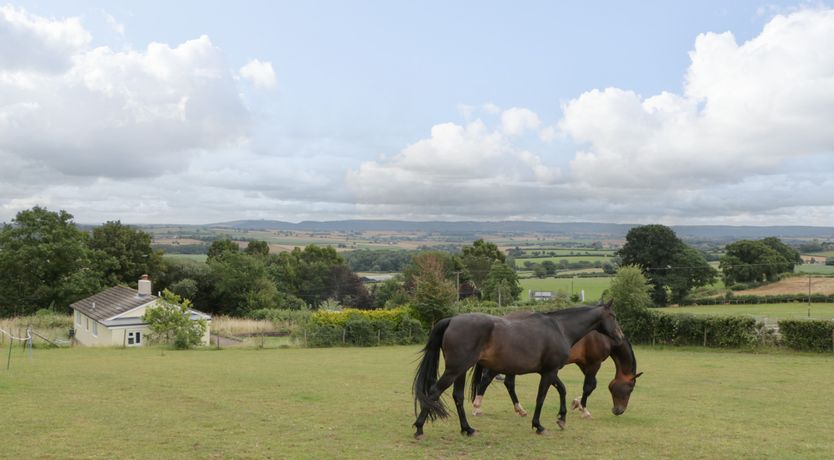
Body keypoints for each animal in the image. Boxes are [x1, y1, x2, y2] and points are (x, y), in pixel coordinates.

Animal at [412, 302, 620, 438]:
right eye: (613, 316)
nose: (619, 337)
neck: (560, 328)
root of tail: (452, 320)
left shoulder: (549, 371)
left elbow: (562, 389)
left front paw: (561, 418)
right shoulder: (549, 372)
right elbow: (541, 397)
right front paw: (538, 425)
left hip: (461, 371)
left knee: (458, 396)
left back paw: (467, 429)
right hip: (455, 370)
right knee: (434, 392)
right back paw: (419, 428)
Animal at [472, 330, 640, 420]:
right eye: (630, 389)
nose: (618, 410)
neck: (602, 336)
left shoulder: (584, 364)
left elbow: (591, 386)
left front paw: (577, 403)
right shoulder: (594, 363)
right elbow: (589, 387)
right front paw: (584, 410)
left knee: (509, 384)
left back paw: (520, 409)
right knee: (486, 380)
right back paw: (477, 409)